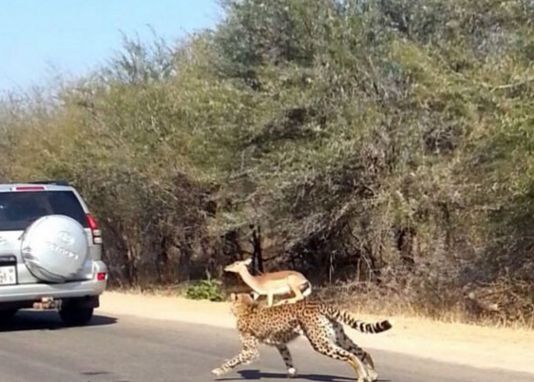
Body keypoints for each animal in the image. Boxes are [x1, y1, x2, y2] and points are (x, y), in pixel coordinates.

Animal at [211, 294, 392, 380]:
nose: (228, 309)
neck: (248, 308)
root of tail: (317, 302)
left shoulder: (250, 350)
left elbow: (233, 360)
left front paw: (219, 370)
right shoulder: (280, 344)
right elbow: (288, 359)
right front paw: (292, 373)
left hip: (320, 342)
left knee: (351, 356)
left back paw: (362, 376)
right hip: (339, 337)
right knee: (362, 352)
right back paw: (372, 375)